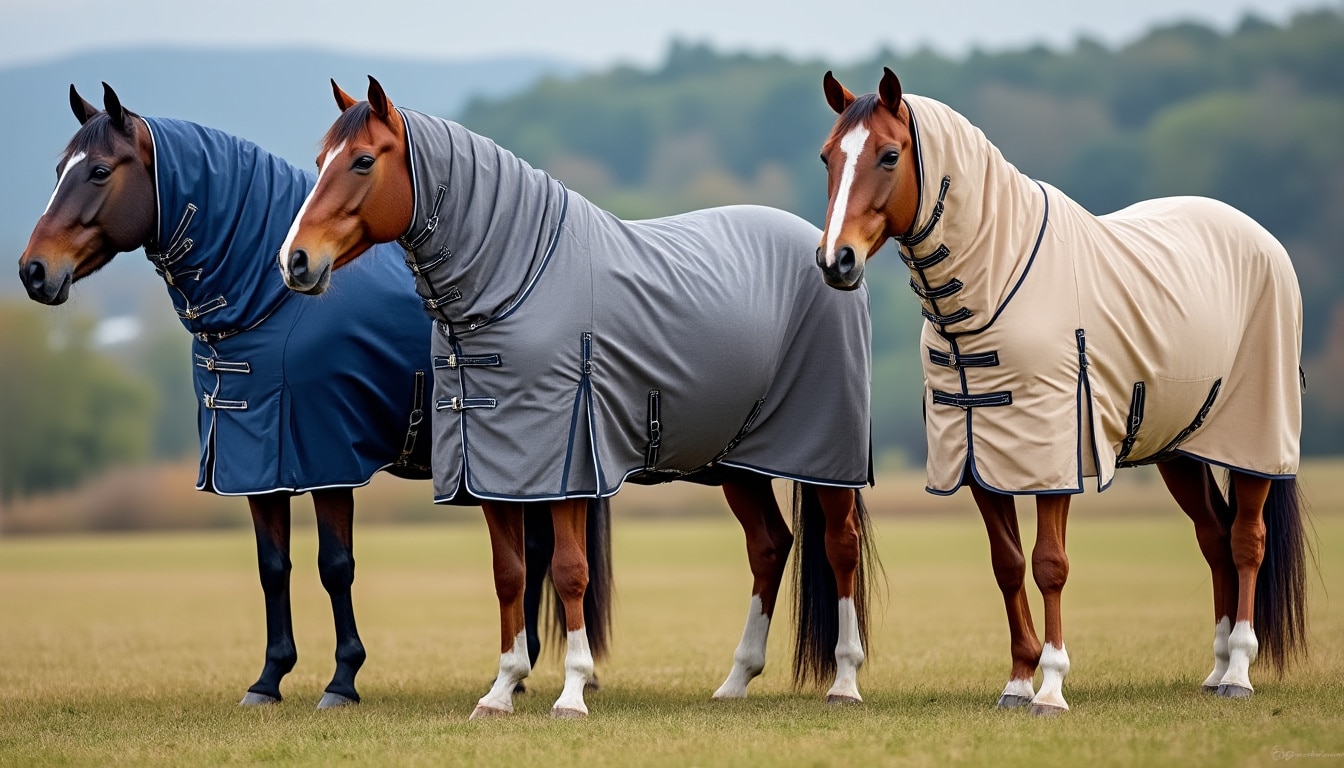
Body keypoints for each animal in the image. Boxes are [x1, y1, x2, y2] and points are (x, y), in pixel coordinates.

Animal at [17, 83, 613, 709]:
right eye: (59, 170)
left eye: (99, 171)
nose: (33, 270)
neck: (269, 302)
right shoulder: (255, 461)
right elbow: (272, 566)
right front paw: (268, 678)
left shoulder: (327, 457)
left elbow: (335, 565)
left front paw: (342, 680)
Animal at [275, 76, 878, 719]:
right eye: (321, 160)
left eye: (363, 160)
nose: (294, 261)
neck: (518, 283)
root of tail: (829, 250)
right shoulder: (494, 470)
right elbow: (510, 574)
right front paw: (501, 690)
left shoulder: (569, 469)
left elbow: (568, 572)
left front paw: (571, 690)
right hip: (737, 462)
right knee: (768, 546)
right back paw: (737, 678)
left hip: (825, 456)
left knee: (840, 546)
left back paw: (845, 680)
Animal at [815, 68, 1310, 715]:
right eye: (828, 156)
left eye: (890, 155)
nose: (835, 261)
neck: (995, 285)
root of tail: (1263, 239)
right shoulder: (979, 458)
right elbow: (1007, 564)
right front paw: (1017, 681)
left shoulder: (1053, 455)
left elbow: (1049, 564)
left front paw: (1050, 686)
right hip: (1180, 449)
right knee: (1215, 538)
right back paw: (1217, 666)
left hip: (1255, 442)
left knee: (1247, 541)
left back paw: (1240, 673)